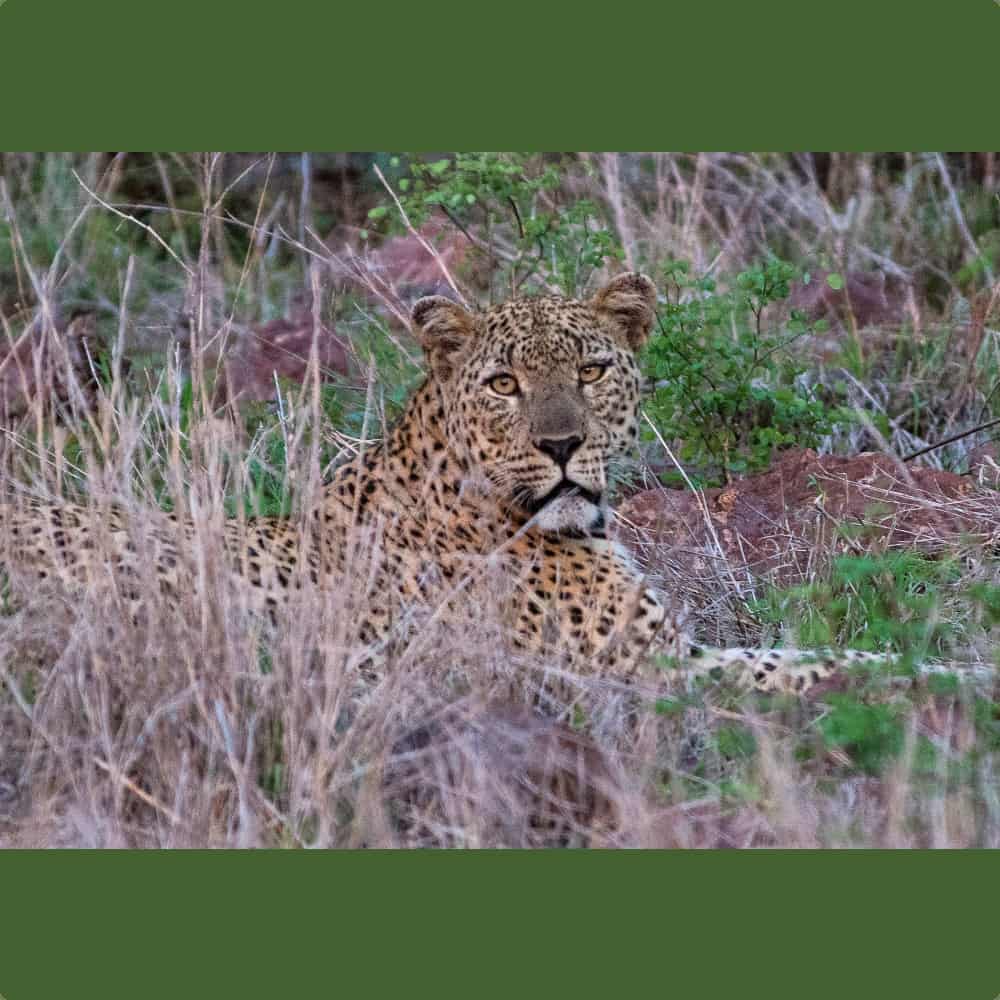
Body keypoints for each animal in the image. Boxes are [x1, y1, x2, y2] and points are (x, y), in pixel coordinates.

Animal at [0, 273, 937, 702]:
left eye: (592, 370)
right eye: (503, 385)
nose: (561, 445)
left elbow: (827, 655)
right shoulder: (645, 668)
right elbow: (823, 669)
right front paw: (948, 680)